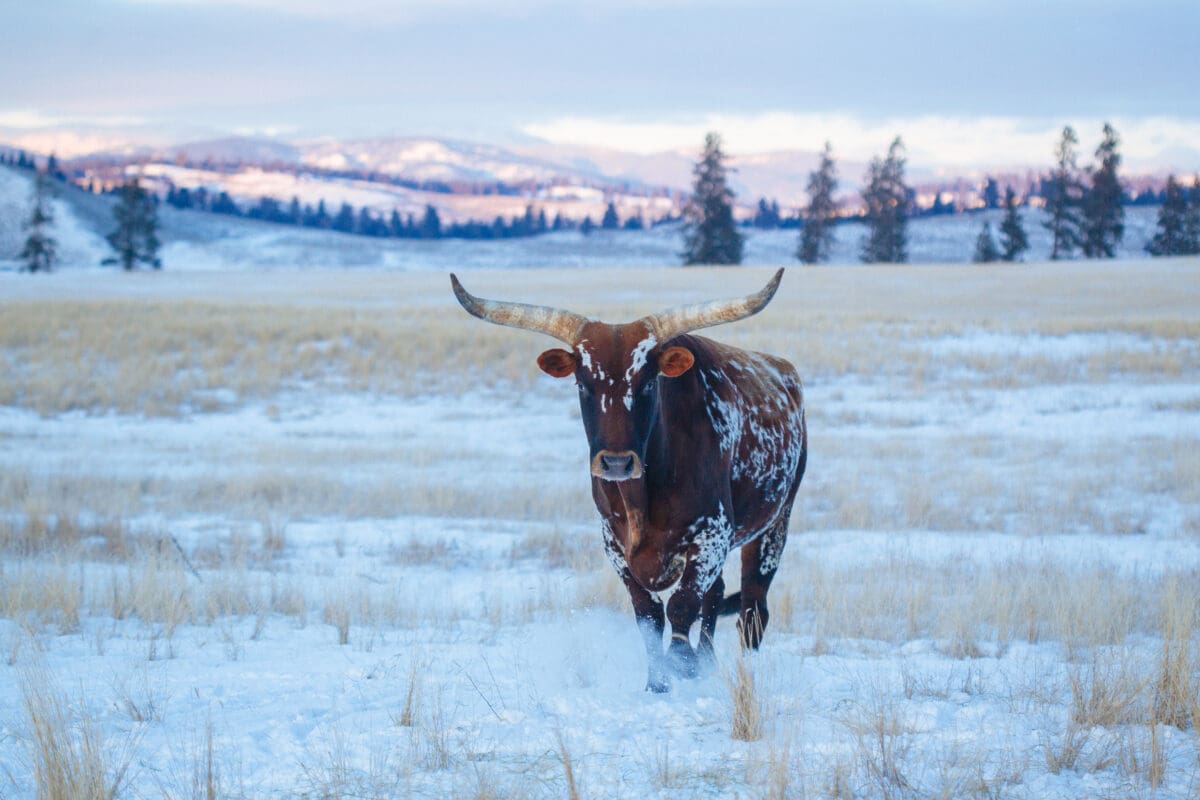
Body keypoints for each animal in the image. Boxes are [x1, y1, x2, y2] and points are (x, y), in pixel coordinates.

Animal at [450, 269, 806, 692]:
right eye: (582, 383)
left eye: (649, 383)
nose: (617, 462)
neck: (641, 498)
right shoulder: (614, 544)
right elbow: (648, 614)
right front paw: (657, 683)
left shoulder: (712, 535)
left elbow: (681, 606)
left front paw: (680, 666)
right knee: (718, 595)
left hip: (774, 524)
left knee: (752, 608)